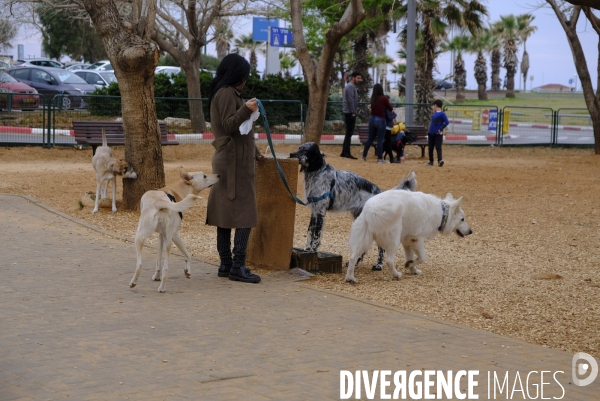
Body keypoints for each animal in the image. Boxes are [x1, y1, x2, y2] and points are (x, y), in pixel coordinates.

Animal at [290, 142, 418, 270]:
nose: (291, 154)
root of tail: (379, 192)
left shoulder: (320, 212)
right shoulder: (314, 211)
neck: (316, 174)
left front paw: (312, 250)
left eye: (305, 150)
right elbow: (309, 233)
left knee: (381, 247)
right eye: (299, 148)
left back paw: (378, 265)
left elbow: (316, 235)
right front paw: (307, 250)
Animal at [344, 189, 472, 282]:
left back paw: (350, 278)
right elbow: (422, 257)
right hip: (393, 241)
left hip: (362, 241)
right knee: (389, 260)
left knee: (353, 257)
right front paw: (409, 265)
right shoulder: (417, 240)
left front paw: (413, 269)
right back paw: (396, 275)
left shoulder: (407, 242)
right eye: (462, 219)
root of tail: (371, 209)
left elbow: (411, 257)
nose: (471, 231)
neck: (442, 213)